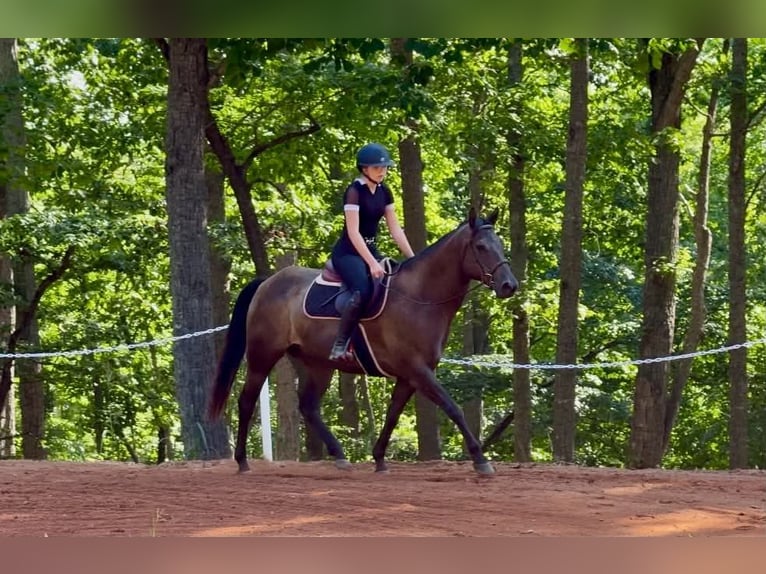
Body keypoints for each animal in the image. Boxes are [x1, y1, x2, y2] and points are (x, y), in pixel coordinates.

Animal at [208, 207, 518, 475]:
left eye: (500, 244)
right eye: (481, 247)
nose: (509, 285)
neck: (419, 297)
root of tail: (267, 282)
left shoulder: (409, 376)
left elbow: (393, 415)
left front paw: (379, 458)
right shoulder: (418, 371)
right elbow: (452, 407)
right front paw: (480, 459)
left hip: (319, 365)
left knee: (308, 407)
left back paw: (339, 455)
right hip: (263, 356)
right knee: (246, 401)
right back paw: (242, 461)